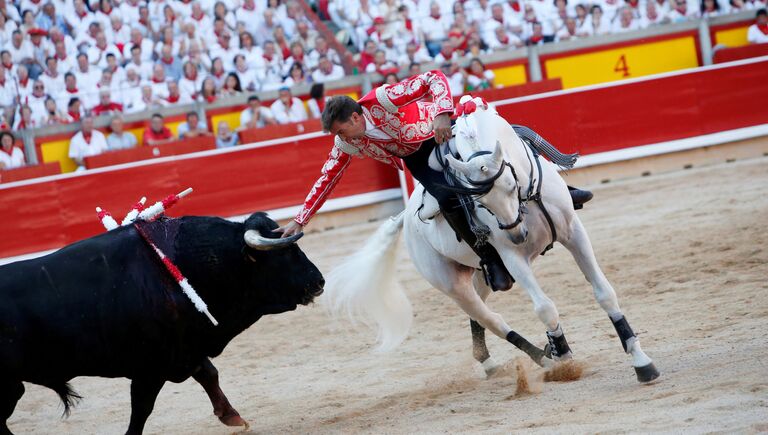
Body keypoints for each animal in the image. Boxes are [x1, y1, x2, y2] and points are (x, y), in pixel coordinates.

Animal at [0, 213, 324, 434]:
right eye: (285, 253)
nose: (319, 281)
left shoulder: (186, 348)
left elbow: (209, 374)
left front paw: (231, 416)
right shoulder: (151, 367)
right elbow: (142, 410)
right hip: (10, 387)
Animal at [324, 97, 660, 384]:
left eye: (511, 184)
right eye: (479, 202)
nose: (518, 235)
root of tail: (404, 217)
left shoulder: (574, 232)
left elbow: (605, 293)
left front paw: (641, 361)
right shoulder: (513, 257)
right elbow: (545, 308)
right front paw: (565, 358)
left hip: (484, 272)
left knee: (481, 315)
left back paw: (491, 361)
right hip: (452, 284)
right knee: (491, 319)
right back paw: (541, 358)